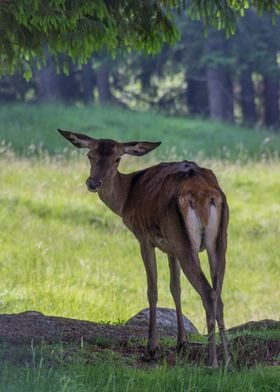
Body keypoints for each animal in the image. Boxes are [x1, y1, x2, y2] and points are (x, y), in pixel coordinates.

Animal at [58, 129, 231, 368]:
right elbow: (175, 288)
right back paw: (228, 359)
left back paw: (212, 361)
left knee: (209, 293)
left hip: (186, 242)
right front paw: (181, 343)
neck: (126, 199)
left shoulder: (144, 237)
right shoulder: (171, 247)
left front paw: (151, 349)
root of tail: (203, 194)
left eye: (117, 159)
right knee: (219, 293)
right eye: (90, 155)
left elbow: (153, 289)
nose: (93, 183)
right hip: (219, 239)